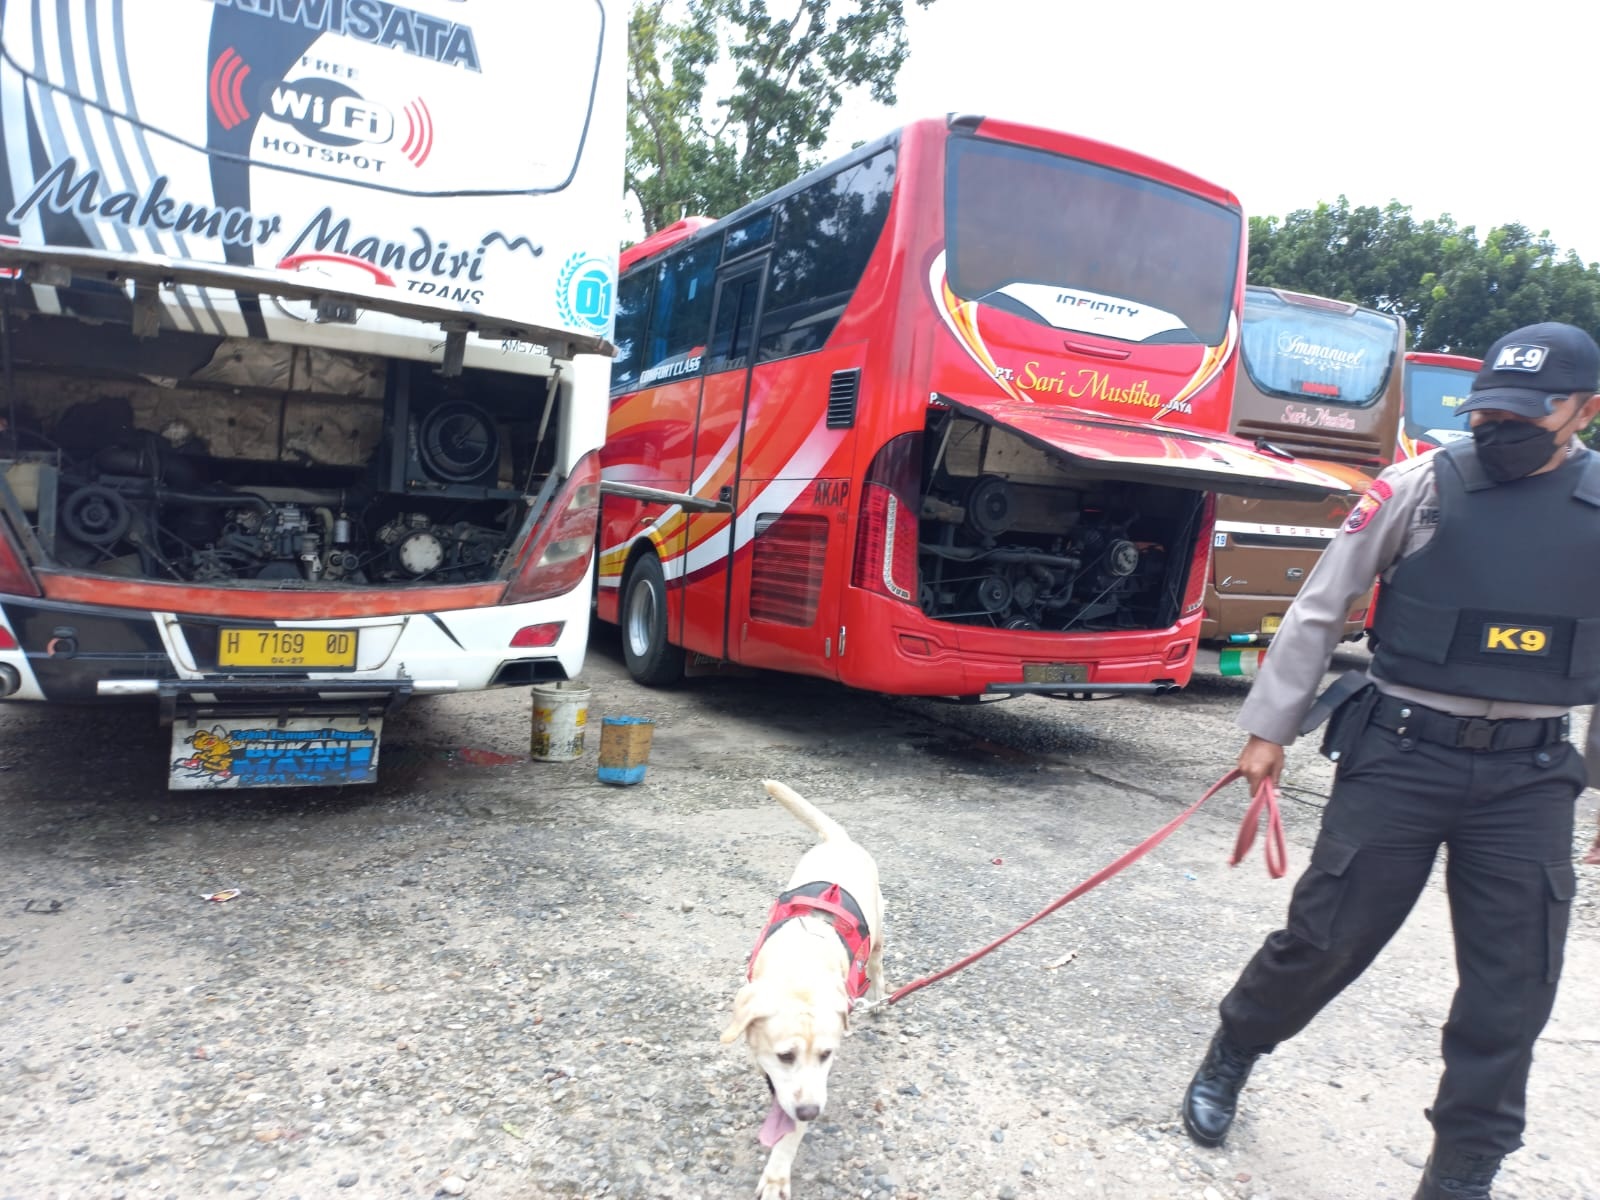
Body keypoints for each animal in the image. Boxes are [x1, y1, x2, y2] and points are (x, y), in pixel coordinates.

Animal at [726, 780, 889, 1200]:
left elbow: (789, 1129)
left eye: (827, 1054)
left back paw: (880, 999)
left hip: (879, 936)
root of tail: (841, 841)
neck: (801, 966)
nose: (812, 1112)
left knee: (878, 966)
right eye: (784, 1056)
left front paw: (777, 1172)